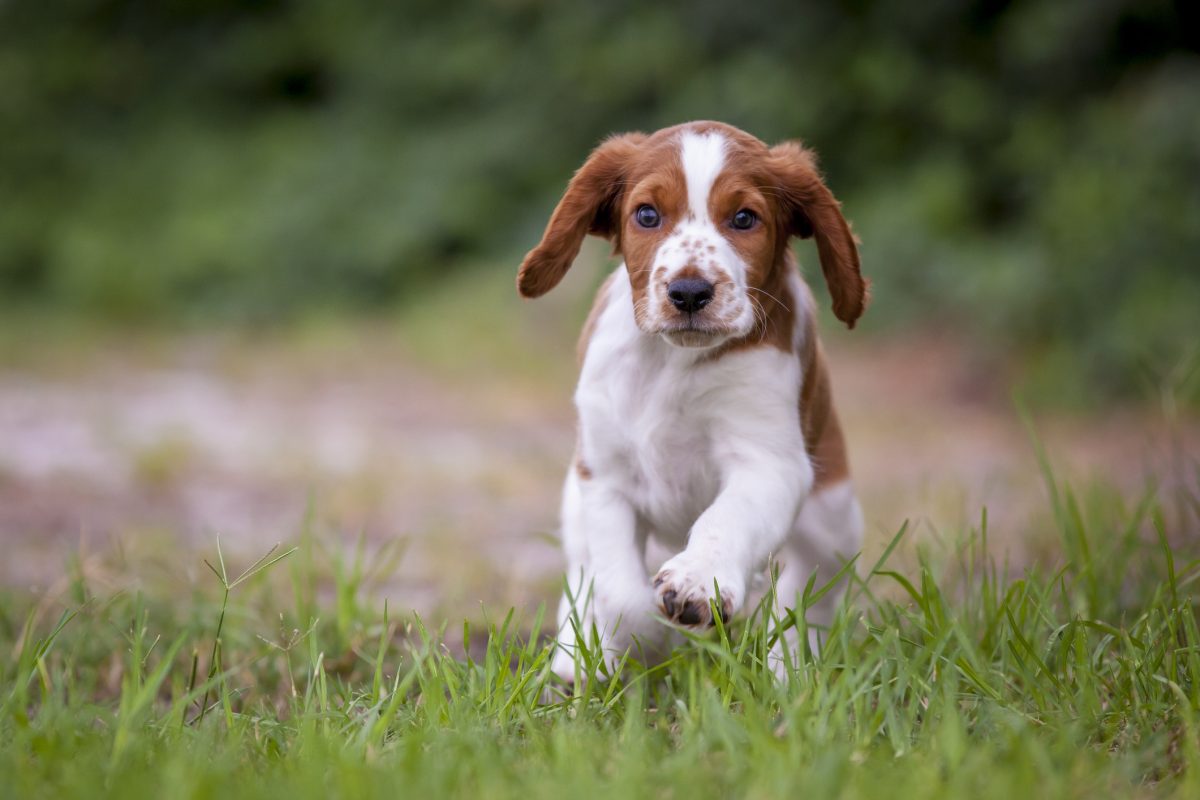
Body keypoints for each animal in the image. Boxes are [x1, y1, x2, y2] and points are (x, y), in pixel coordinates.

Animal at [520, 120, 868, 681]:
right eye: (646, 214)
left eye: (744, 218)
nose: (688, 293)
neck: (673, 362)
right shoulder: (605, 476)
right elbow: (617, 591)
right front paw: (640, 640)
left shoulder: (769, 464)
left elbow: (726, 521)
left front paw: (696, 583)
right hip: (572, 500)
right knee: (580, 572)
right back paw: (574, 659)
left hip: (833, 518)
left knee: (807, 598)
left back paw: (788, 670)